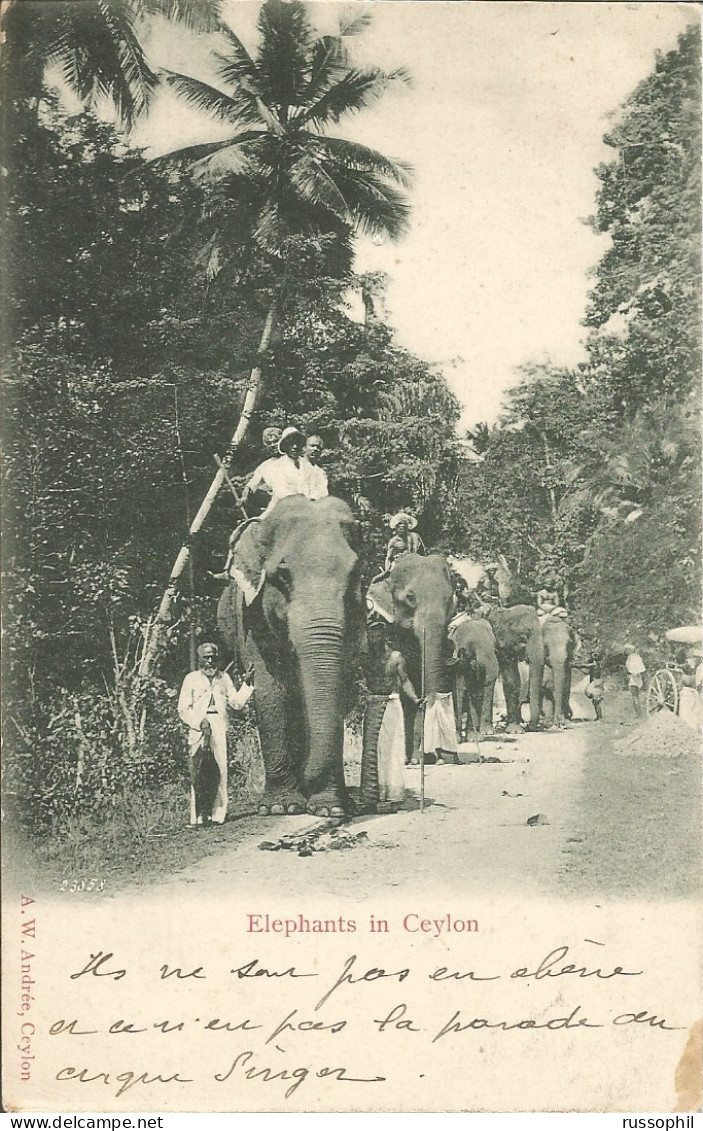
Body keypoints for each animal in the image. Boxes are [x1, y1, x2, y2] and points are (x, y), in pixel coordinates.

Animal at [218, 493, 366, 814]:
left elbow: (340, 692)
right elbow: (271, 692)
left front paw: (330, 808)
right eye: (283, 575)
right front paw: (280, 808)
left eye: (354, 574)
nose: (309, 783)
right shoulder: (252, 616)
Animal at [368, 554, 456, 760]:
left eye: (450, 598)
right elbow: (405, 685)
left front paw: (419, 758)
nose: (436, 755)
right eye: (410, 597)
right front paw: (413, 759)